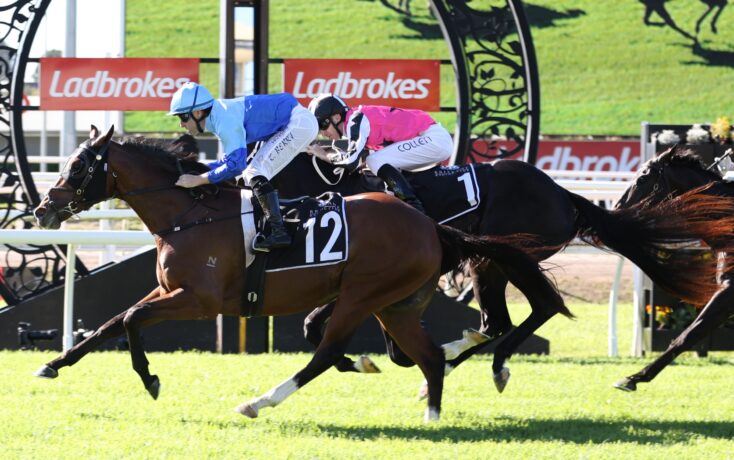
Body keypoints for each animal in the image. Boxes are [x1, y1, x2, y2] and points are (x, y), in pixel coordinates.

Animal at [31, 126, 566, 422]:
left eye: (78, 166)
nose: (42, 208)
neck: (190, 213)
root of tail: (430, 225)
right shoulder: (166, 288)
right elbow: (107, 323)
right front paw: (54, 364)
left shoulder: (198, 299)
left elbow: (128, 320)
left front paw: (150, 379)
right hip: (395, 303)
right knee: (431, 355)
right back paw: (432, 409)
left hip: (363, 296)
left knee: (328, 352)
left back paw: (260, 401)